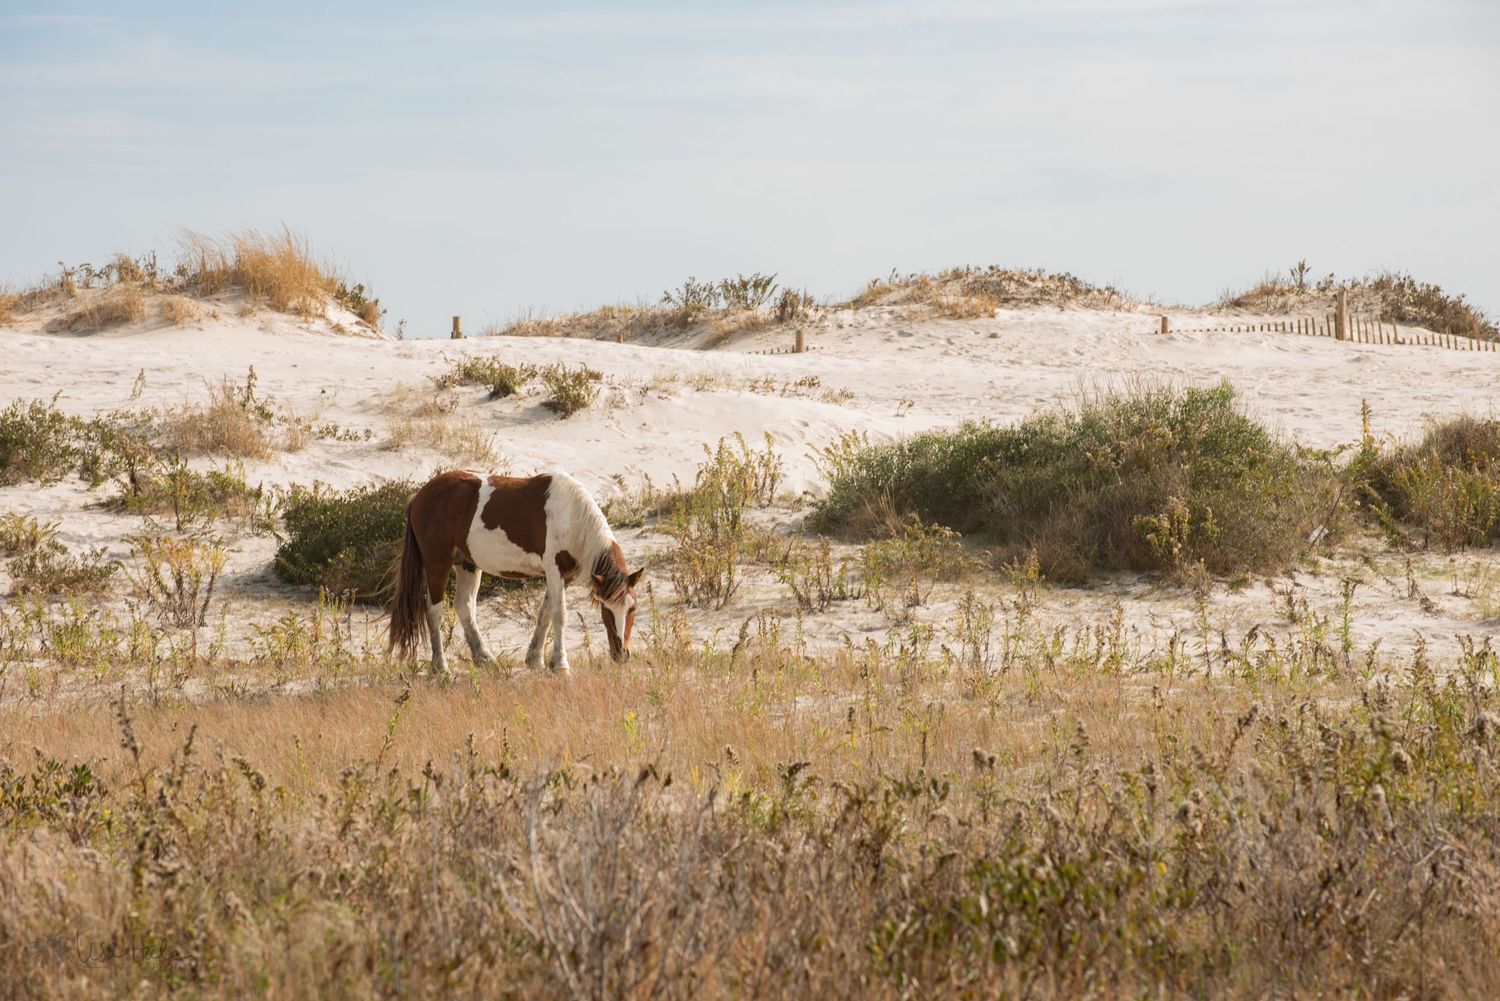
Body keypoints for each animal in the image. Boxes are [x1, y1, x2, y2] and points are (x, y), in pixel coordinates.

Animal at [387, 469, 643, 675]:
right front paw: (561, 665)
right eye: (606, 610)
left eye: (632, 609)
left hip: (467, 564)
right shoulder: (555, 571)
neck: (570, 517)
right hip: (437, 564)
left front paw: (536, 659)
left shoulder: (564, 577)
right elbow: (559, 615)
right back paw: (441, 666)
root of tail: (420, 495)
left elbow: (545, 613)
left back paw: (484, 657)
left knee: (464, 607)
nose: (622, 655)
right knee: (434, 611)